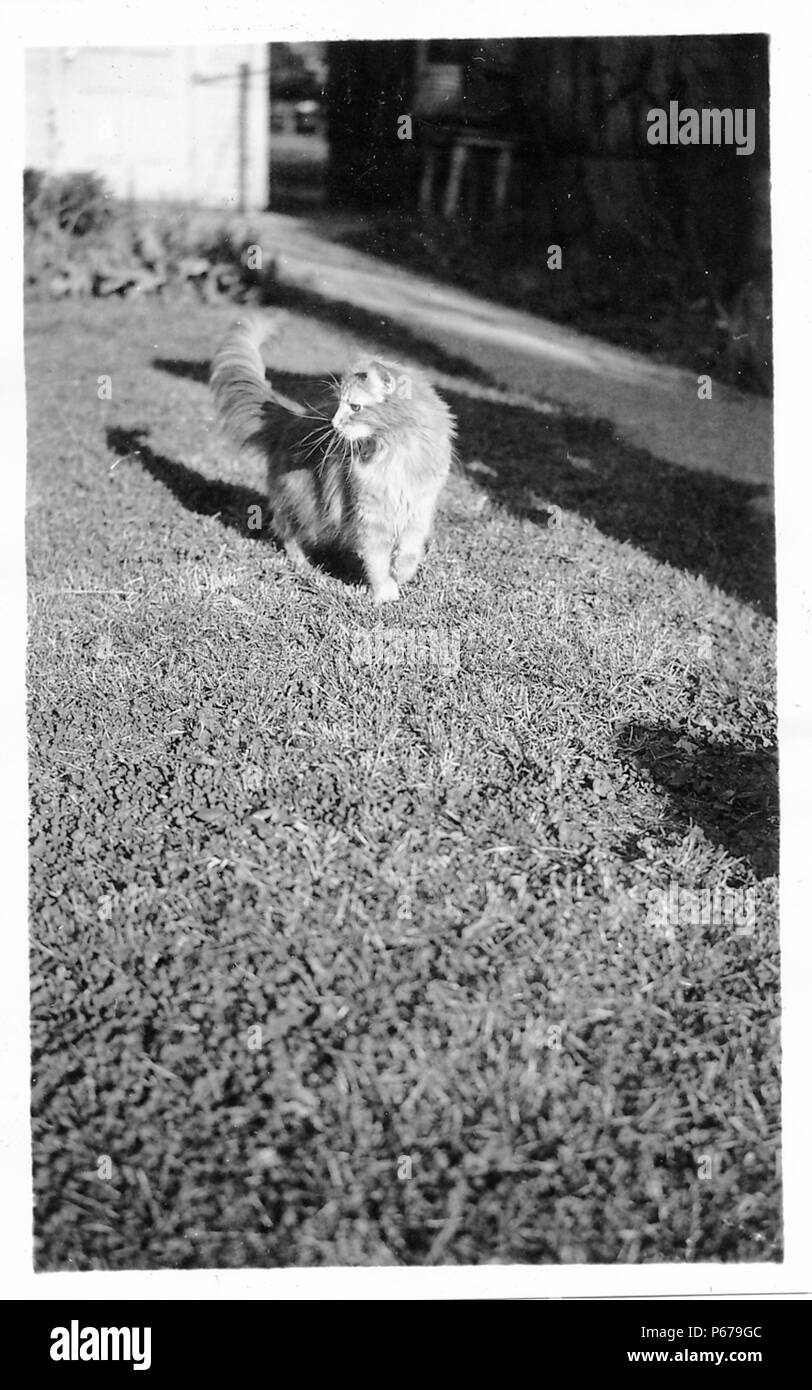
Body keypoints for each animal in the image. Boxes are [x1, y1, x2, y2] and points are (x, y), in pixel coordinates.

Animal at [209, 312, 453, 600]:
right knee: (285, 529)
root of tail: (291, 419)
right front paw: (385, 593)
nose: (333, 424)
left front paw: (402, 574)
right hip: (306, 504)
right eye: (339, 405)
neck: (394, 450)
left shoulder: (418, 509)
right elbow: (377, 559)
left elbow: (410, 551)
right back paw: (305, 567)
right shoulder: (368, 513)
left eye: (355, 407)